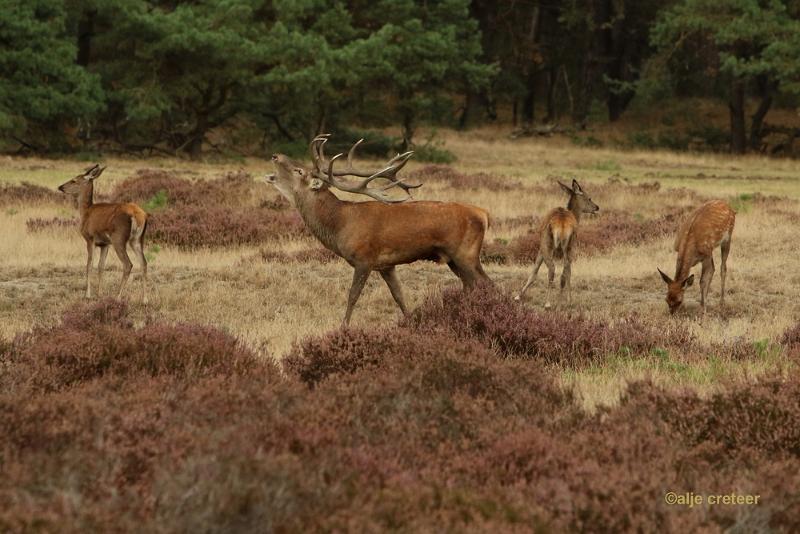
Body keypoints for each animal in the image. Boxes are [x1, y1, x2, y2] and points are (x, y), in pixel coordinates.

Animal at [58, 164, 150, 302]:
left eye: (74, 180)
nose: (60, 187)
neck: (86, 212)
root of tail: (139, 215)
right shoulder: (105, 244)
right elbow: (101, 266)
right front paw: (99, 293)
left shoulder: (90, 238)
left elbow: (89, 265)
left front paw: (88, 294)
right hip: (137, 239)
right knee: (143, 263)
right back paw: (145, 299)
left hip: (119, 239)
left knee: (128, 264)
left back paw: (118, 296)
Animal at [516, 180, 596, 308]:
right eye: (589, 198)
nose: (597, 207)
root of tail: (562, 224)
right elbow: (566, 273)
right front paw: (566, 299)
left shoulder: (541, 248)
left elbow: (534, 272)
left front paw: (518, 296)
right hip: (570, 246)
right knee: (565, 272)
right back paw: (563, 301)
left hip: (547, 245)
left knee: (552, 269)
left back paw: (548, 303)